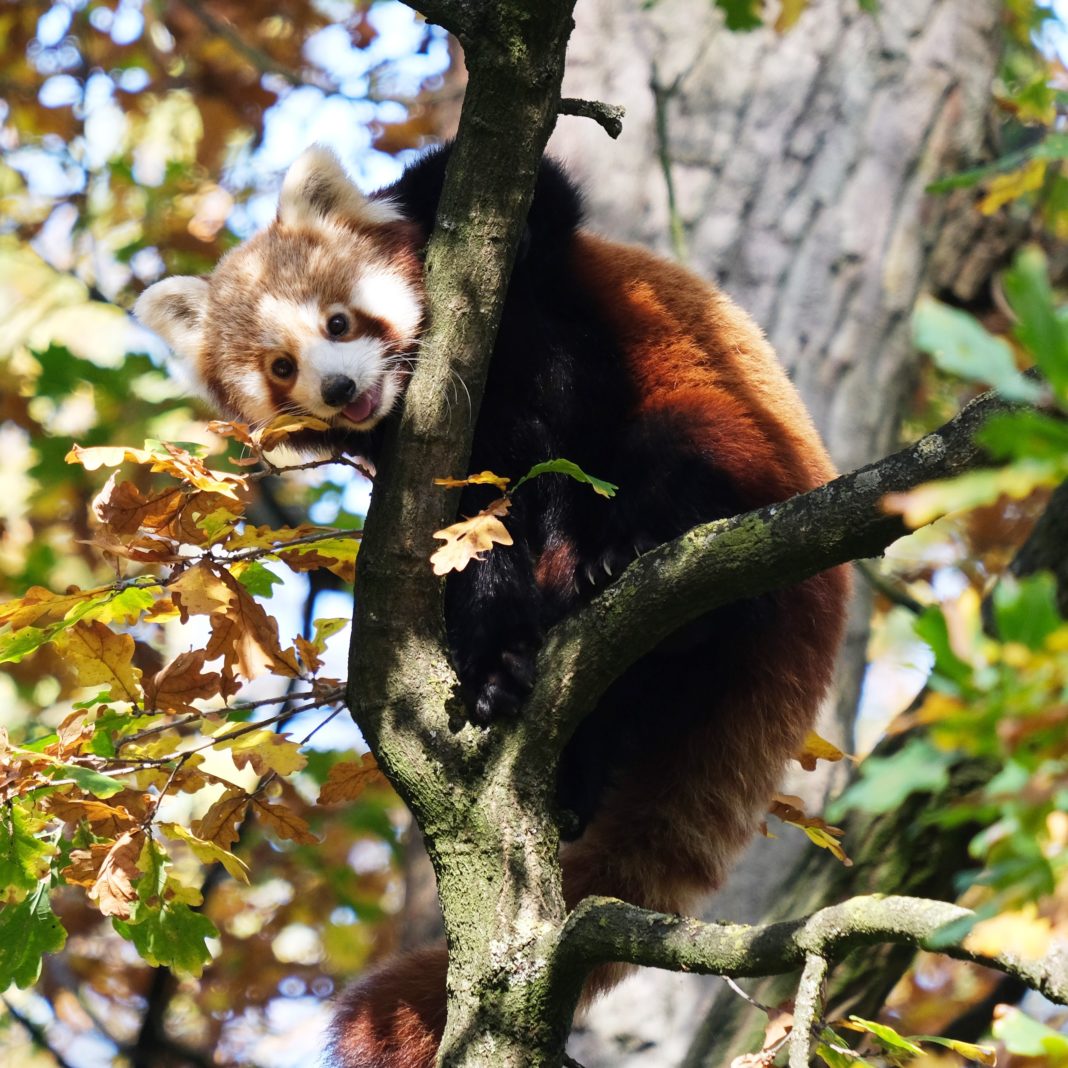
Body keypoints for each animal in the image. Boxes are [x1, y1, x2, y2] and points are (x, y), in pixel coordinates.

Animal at [133, 144, 850, 1068]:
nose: (339, 387)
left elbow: (537, 218)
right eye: (280, 367)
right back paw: (531, 706)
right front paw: (494, 651)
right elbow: (474, 543)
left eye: (340, 323)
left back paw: (627, 554)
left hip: (737, 455)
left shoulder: (538, 272)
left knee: (672, 457)